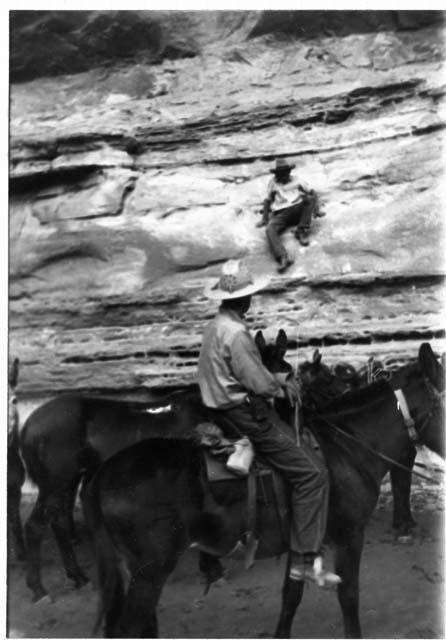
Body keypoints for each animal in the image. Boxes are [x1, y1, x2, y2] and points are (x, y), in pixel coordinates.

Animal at [87, 348, 442, 636]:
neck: (347, 446)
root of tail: (104, 472)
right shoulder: (349, 535)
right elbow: (349, 595)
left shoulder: (301, 538)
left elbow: (291, 597)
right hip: (150, 571)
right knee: (128, 627)